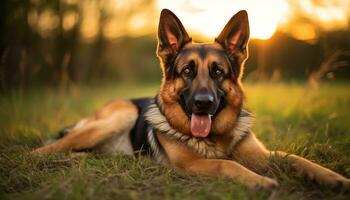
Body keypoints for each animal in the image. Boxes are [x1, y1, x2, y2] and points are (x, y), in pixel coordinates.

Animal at [33, 9, 350, 191]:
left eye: (218, 72)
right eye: (187, 71)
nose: (203, 103)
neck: (215, 139)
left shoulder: (260, 154)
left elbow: (295, 158)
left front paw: (333, 178)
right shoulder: (189, 166)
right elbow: (227, 165)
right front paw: (260, 181)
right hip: (121, 115)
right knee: (43, 150)